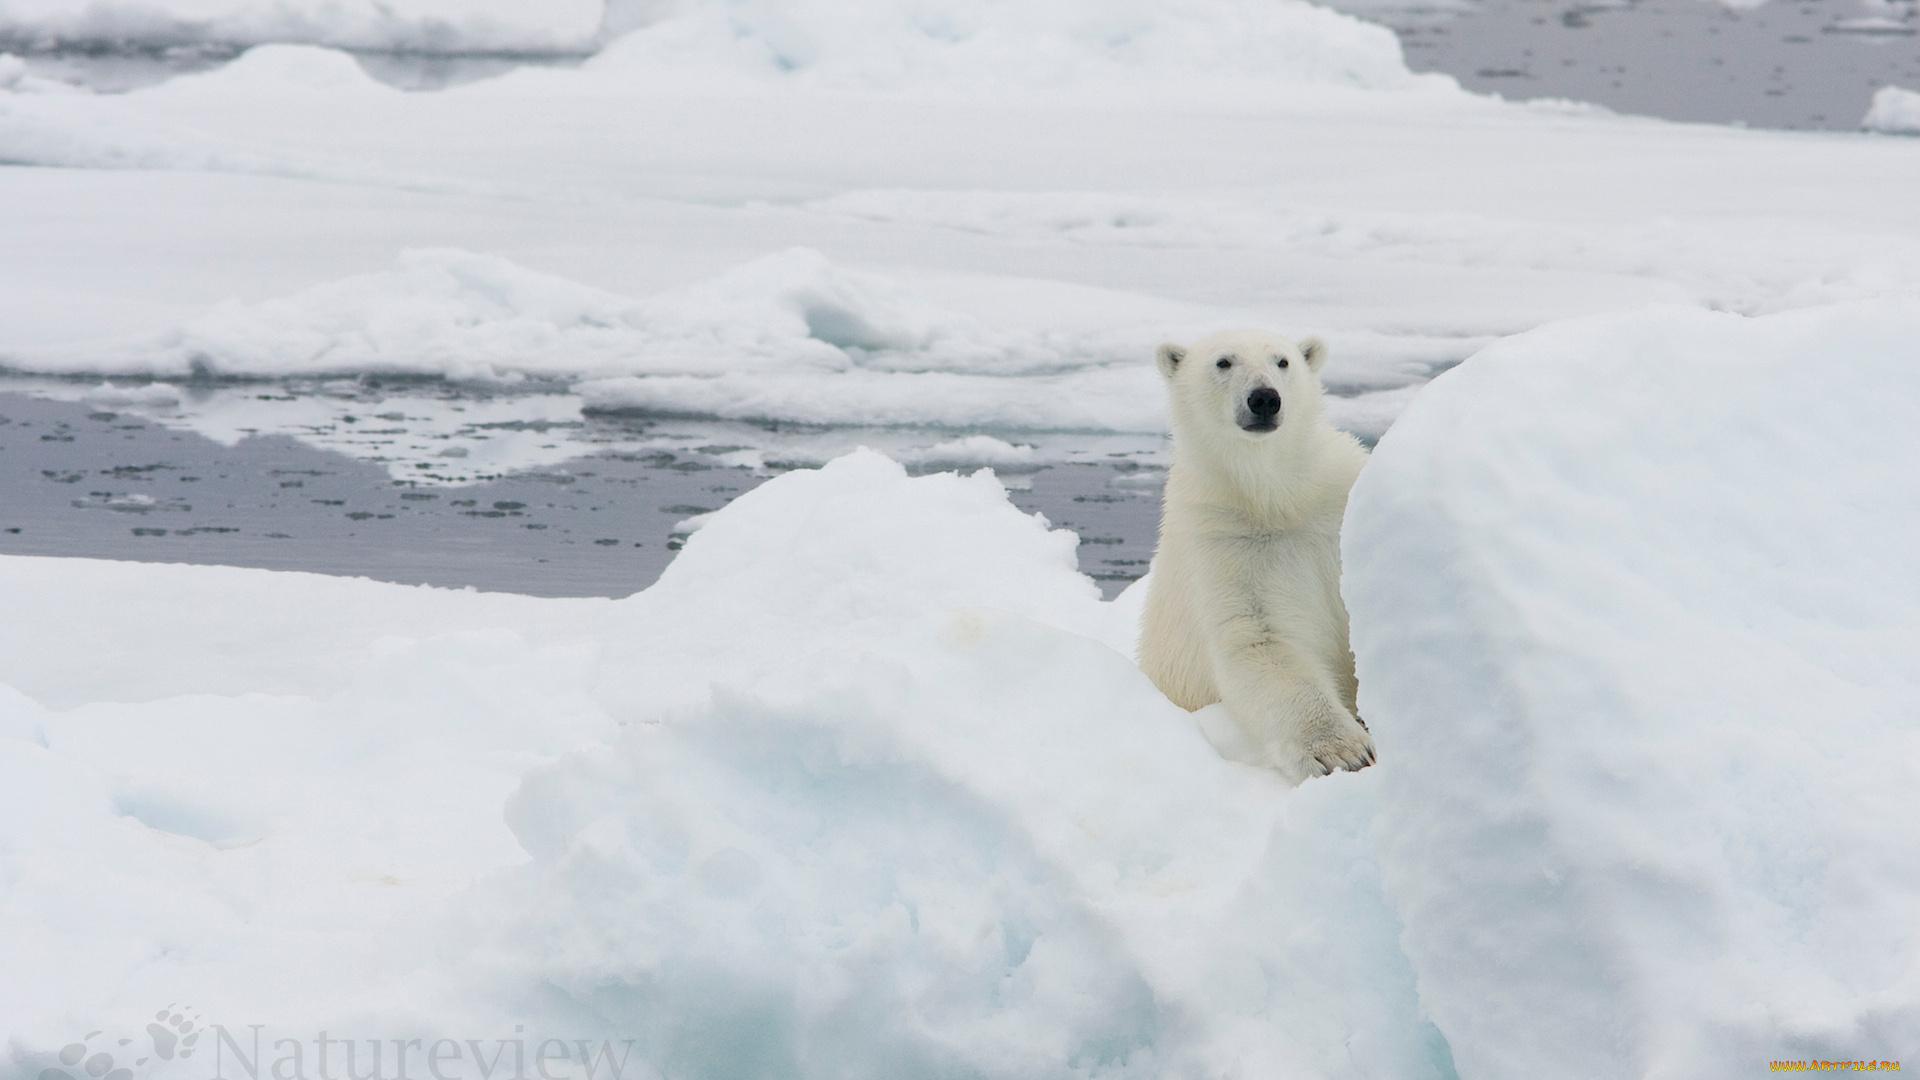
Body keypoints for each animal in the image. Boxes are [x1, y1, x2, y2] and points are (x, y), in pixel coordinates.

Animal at [1128, 328, 1374, 780]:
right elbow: (1260, 643)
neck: (1277, 498)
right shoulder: (1223, 542)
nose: (1264, 398)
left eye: (1283, 361)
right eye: (1224, 362)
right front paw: (1342, 752)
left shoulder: (1338, 499)